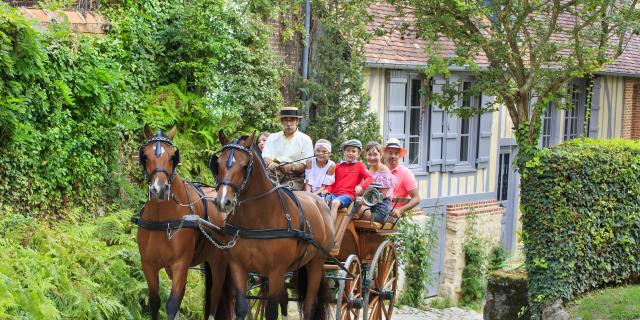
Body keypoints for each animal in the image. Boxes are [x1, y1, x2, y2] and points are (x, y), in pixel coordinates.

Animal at [136, 125, 231, 320]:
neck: (163, 221)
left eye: (173, 156)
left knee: (215, 295)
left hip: (220, 261)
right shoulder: (148, 264)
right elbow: (155, 302)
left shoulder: (180, 264)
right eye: (145, 156)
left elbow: (172, 304)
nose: (159, 189)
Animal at [210, 131, 336, 318]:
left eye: (245, 165)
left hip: (316, 262)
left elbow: (271, 311)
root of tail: (321, 203)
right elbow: (241, 307)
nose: (223, 201)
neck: (256, 222)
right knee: (285, 299)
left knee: (309, 304)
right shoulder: (238, 267)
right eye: (217, 164)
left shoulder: (276, 271)